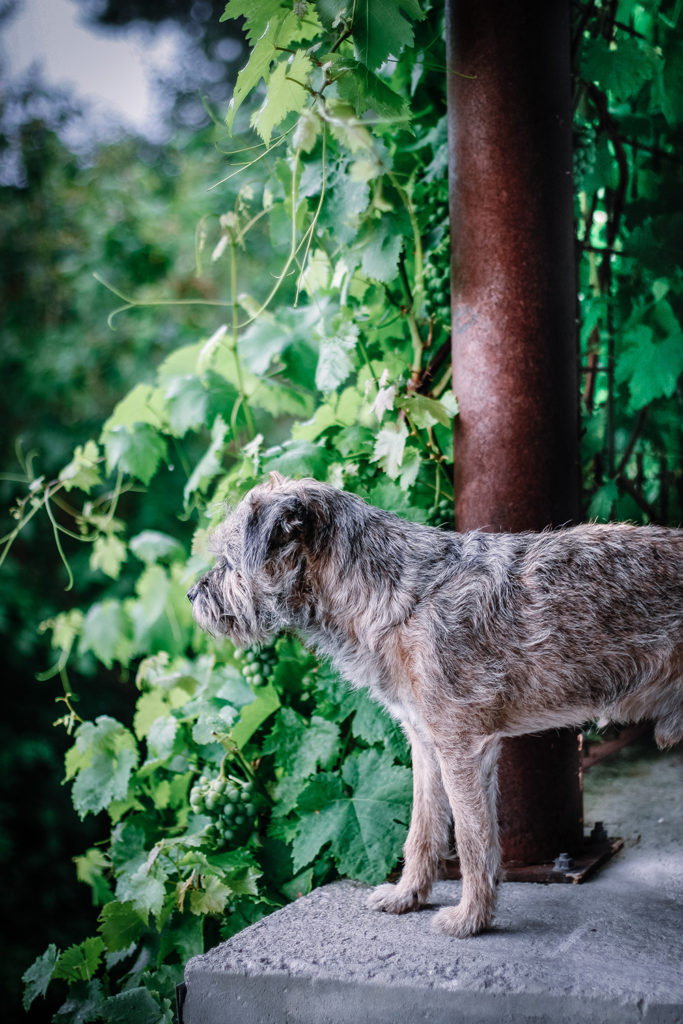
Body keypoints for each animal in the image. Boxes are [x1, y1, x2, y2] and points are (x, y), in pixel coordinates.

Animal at [188, 471, 683, 937]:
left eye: (229, 561)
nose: (193, 594)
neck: (402, 596)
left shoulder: (461, 747)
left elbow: (471, 839)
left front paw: (470, 919)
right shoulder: (427, 746)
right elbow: (422, 829)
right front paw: (408, 895)